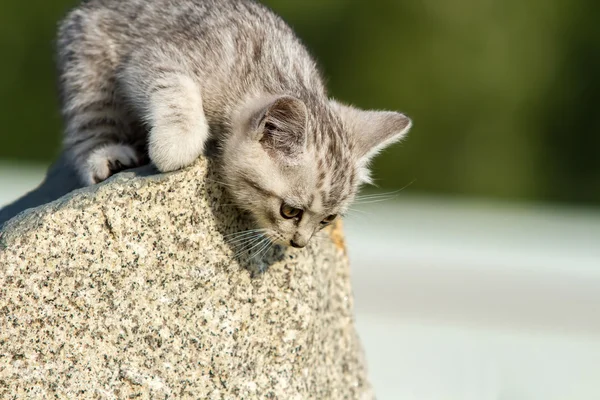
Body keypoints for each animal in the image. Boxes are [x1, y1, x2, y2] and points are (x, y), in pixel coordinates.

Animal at [56, 0, 412, 248]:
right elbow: (177, 90)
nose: (299, 244)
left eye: (328, 219)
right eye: (289, 211)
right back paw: (107, 156)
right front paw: (175, 145)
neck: (263, 73)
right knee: (88, 123)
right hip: (90, 66)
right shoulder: (151, 59)